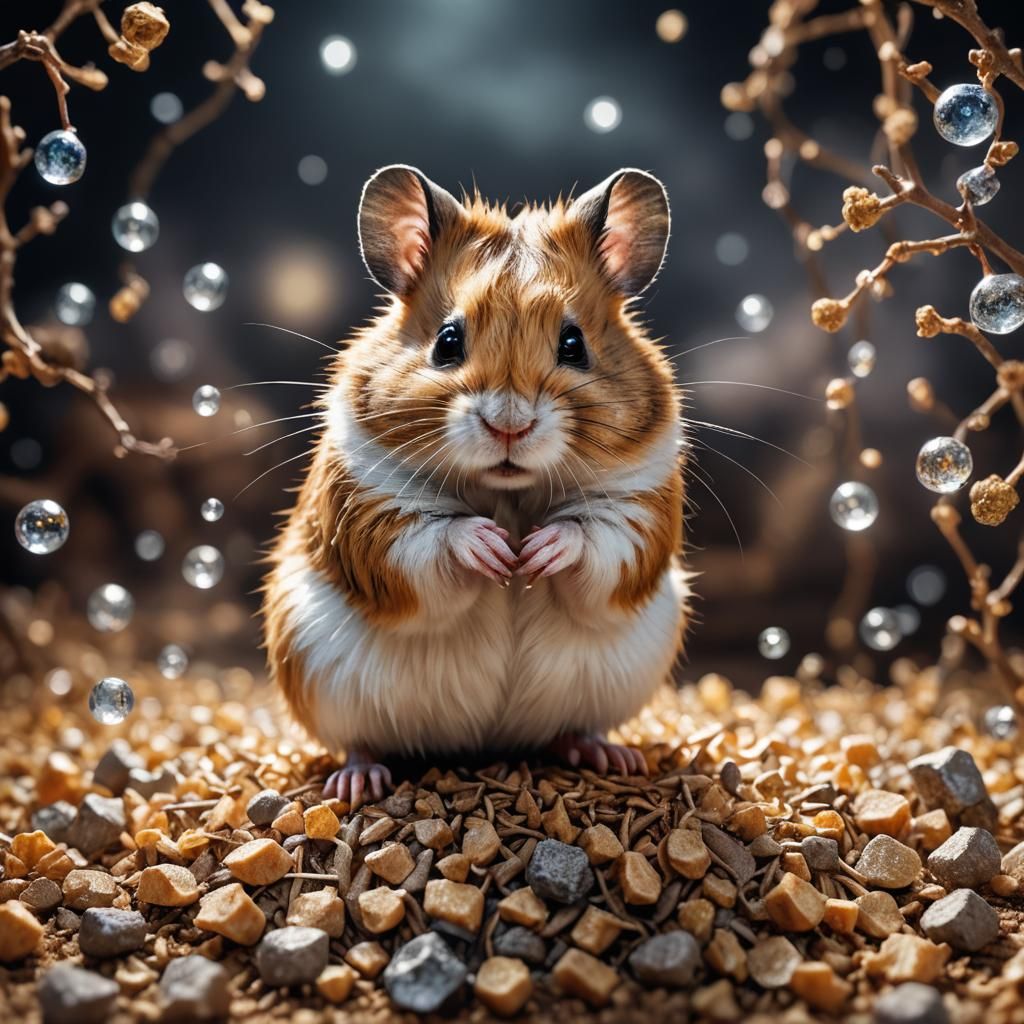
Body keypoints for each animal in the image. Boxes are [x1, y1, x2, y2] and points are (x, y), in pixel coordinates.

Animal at [262, 164, 689, 804]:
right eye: (447, 341)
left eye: (574, 344)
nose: (508, 425)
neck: (506, 492)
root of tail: (486, 742)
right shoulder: (367, 506)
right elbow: (429, 539)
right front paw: (494, 552)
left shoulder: (641, 507)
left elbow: (596, 540)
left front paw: (535, 552)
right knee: (359, 742)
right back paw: (358, 781)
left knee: (575, 729)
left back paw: (612, 755)